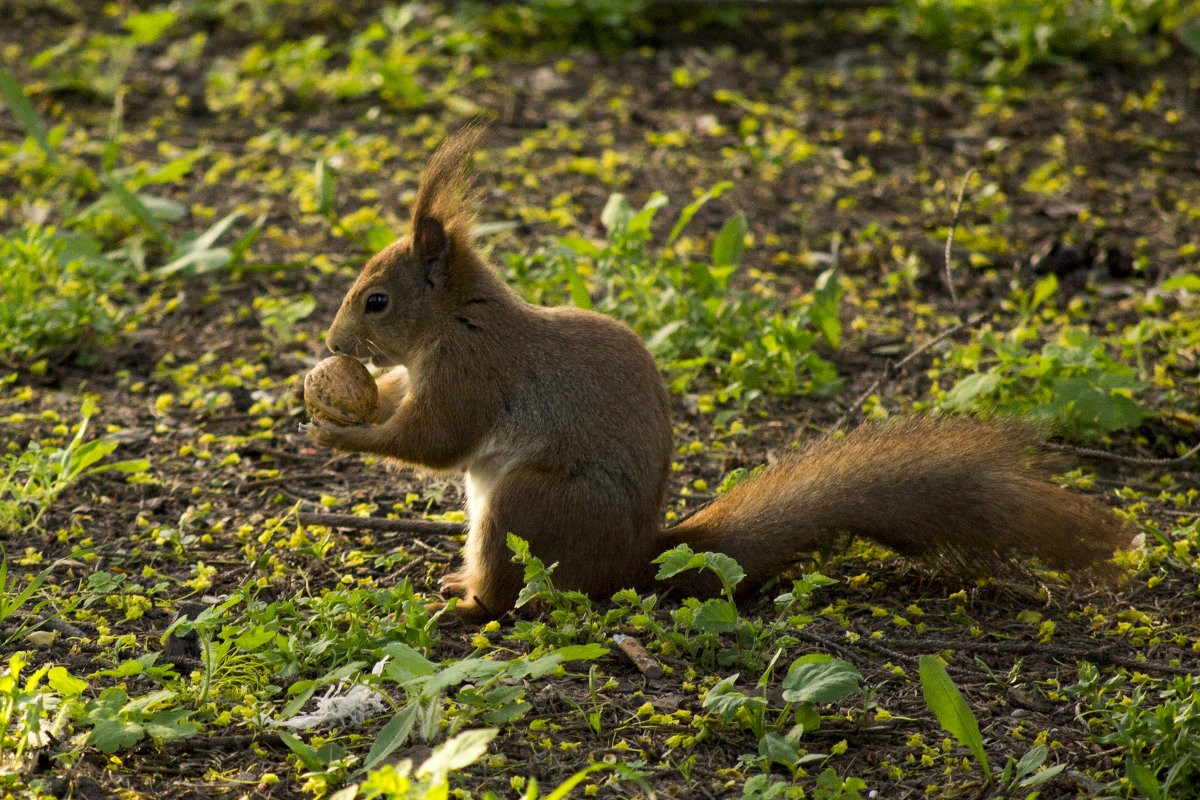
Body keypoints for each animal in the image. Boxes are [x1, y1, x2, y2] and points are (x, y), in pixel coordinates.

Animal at [307, 128, 1132, 623]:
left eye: (376, 300)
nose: (334, 339)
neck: (455, 318)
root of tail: (631, 564)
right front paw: (340, 400)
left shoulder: (475, 369)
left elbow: (435, 441)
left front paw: (342, 436)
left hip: (524, 508)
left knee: (518, 593)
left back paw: (469, 603)